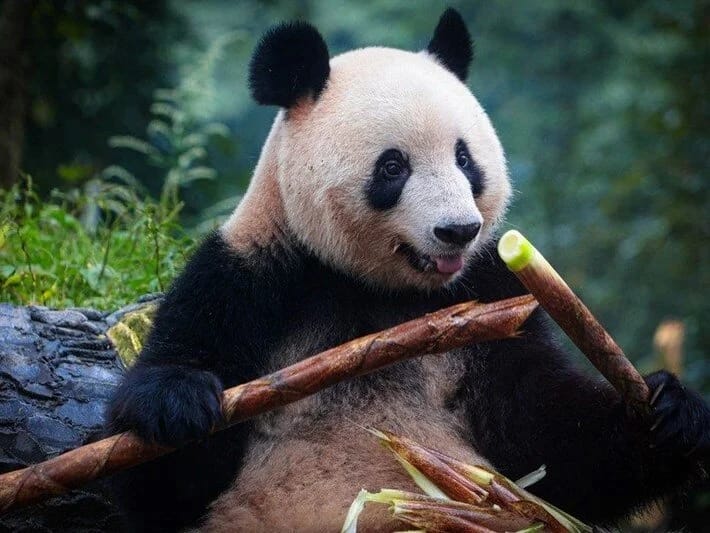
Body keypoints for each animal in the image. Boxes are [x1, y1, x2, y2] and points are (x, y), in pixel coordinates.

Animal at [106, 9, 710, 532]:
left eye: (465, 159)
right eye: (393, 166)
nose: (458, 230)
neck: (381, 290)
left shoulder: (489, 293)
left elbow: (547, 441)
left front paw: (669, 413)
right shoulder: (254, 276)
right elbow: (165, 487)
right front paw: (180, 403)